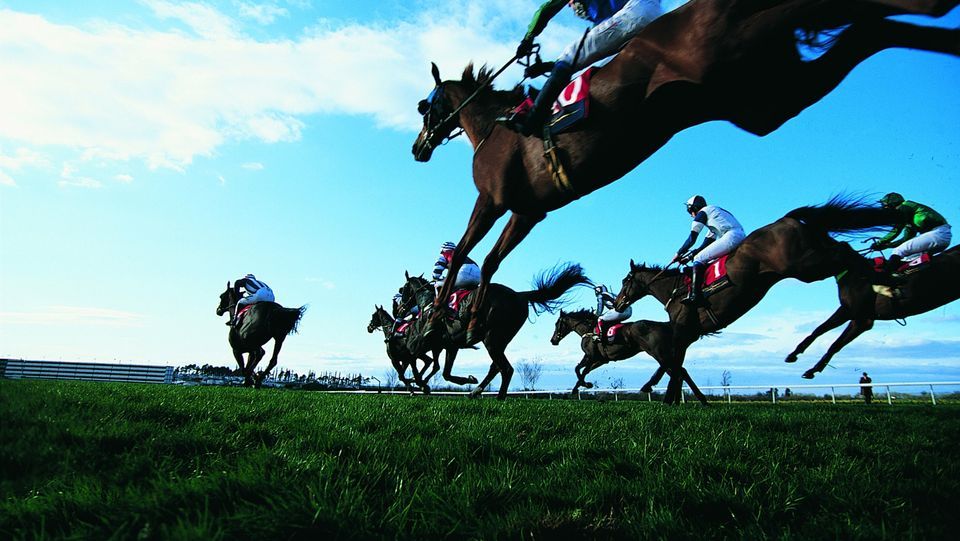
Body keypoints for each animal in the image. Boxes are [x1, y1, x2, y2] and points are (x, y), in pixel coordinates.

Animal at [398, 262, 592, 396]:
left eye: (402, 290)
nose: (399, 309)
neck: (429, 304)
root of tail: (520, 295)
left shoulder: (426, 343)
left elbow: (419, 362)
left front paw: (421, 384)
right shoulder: (450, 345)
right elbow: (443, 371)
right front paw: (467, 379)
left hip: (492, 338)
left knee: (506, 368)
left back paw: (498, 397)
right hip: (500, 339)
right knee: (496, 367)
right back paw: (475, 391)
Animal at [412, 0, 960, 340]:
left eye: (424, 106)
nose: (418, 148)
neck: (494, 127)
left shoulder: (495, 200)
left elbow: (470, 255)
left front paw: (442, 317)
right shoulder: (529, 211)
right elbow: (492, 260)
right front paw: (468, 319)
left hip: (739, 62)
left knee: (854, 16)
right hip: (763, 93)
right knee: (871, 27)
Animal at [548, 306, 704, 398]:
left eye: (557, 324)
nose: (553, 340)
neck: (589, 330)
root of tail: (665, 325)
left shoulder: (593, 357)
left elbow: (582, 370)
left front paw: (586, 385)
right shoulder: (600, 359)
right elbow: (579, 369)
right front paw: (577, 388)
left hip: (657, 353)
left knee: (679, 371)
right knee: (681, 371)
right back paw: (700, 399)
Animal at [616, 197, 900, 400]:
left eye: (624, 281)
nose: (617, 303)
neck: (674, 290)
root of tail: (787, 219)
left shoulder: (683, 329)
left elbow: (673, 364)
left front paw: (659, 392)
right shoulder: (688, 333)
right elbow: (674, 364)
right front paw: (662, 392)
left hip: (805, 265)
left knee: (844, 252)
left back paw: (884, 281)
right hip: (814, 256)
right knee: (845, 250)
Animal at [784, 246, 956, 378]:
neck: (855, 273)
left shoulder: (856, 314)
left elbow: (830, 339)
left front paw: (807, 365)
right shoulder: (858, 317)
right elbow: (824, 334)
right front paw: (799, 358)